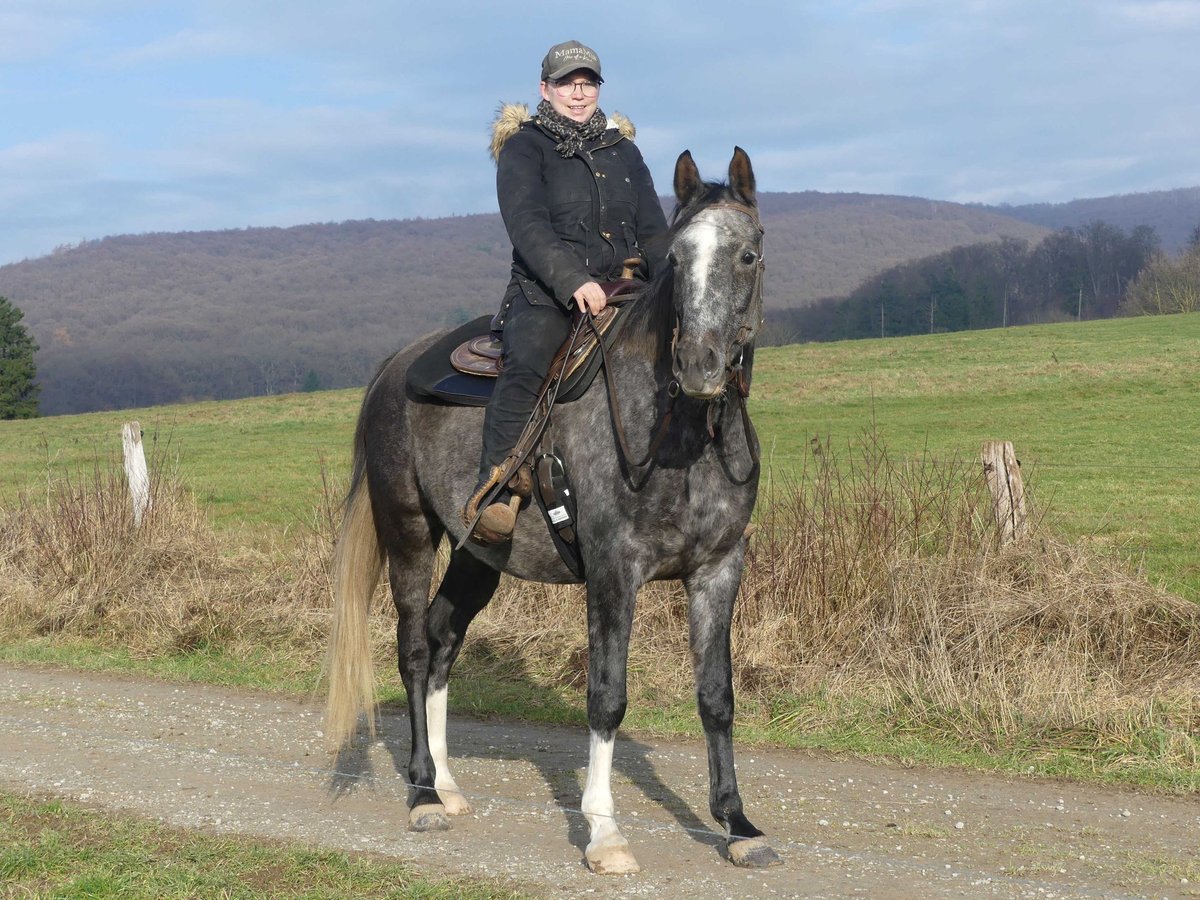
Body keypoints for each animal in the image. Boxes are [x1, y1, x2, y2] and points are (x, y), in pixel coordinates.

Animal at [325, 147, 780, 874]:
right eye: (679, 258)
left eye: (748, 254)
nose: (700, 364)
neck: (676, 432)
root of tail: (396, 366)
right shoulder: (614, 571)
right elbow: (607, 698)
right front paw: (605, 834)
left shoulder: (718, 569)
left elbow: (716, 696)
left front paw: (738, 824)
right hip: (410, 534)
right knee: (416, 649)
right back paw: (422, 793)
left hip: (480, 551)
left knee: (446, 638)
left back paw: (448, 785)